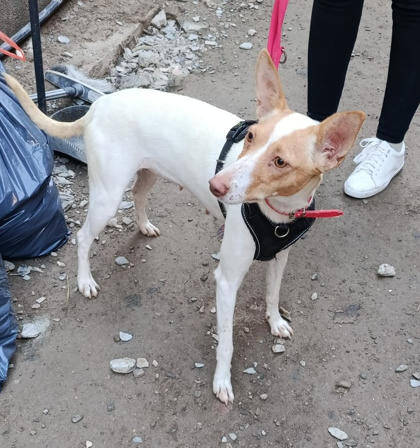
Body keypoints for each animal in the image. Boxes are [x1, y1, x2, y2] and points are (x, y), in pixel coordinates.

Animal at [4, 50, 365, 404]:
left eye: (280, 162)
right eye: (251, 137)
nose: (215, 185)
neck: (276, 213)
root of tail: (98, 106)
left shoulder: (280, 257)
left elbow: (272, 294)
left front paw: (275, 321)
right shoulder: (227, 280)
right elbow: (226, 342)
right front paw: (222, 382)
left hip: (147, 174)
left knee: (138, 195)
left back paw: (144, 226)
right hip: (107, 195)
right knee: (82, 236)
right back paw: (84, 281)